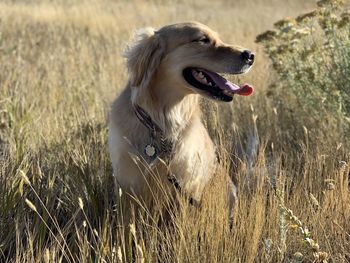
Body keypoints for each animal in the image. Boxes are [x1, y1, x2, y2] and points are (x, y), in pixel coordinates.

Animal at [108, 21, 253, 219]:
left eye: (219, 38)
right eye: (202, 40)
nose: (250, 55)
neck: (163, 121)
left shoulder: (186, 187)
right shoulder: (127, 186)